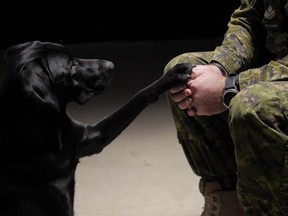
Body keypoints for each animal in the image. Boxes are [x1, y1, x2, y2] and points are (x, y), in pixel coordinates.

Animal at [0, 41, 192, 216]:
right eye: (71, 66)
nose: (111, 65)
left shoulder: (91, 137)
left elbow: (139, 95)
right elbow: (136, 97)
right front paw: (173, 76)